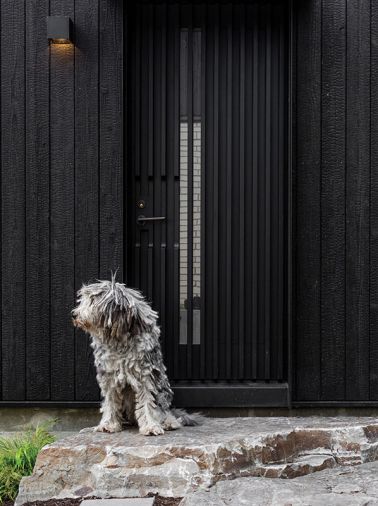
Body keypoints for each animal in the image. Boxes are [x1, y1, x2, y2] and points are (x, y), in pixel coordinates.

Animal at [71, 276, 201, 434]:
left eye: (92, 300)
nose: (74, 314)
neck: (119, 340)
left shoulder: (146, 375)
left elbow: (148, 402)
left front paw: (151, 426)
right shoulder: (109, 376)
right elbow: (110, 402)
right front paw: (108, 424)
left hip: (162, 390)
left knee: (164, 410)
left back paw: (168, 422)